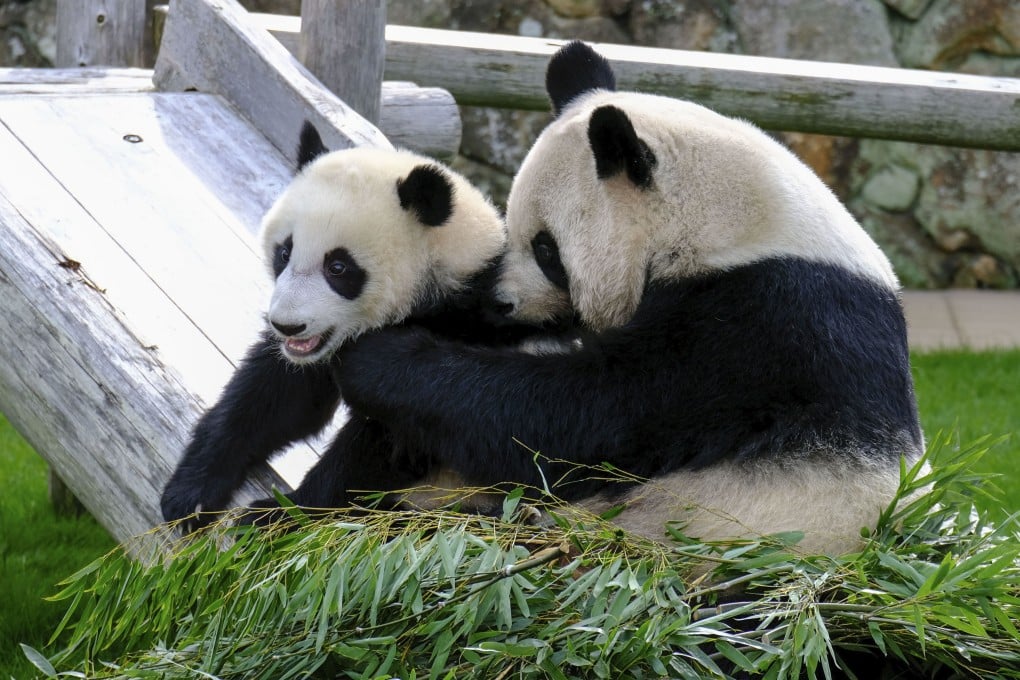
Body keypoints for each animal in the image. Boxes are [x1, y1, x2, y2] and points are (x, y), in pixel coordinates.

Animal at [160, 122, 546, 531]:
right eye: (284, 252)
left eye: (338, 267)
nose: (287, 326)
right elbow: (276, 397)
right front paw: (192, 492)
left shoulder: (458, 328)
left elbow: (391, 444)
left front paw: (283, 513)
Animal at [331, 41, 924, 555]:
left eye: (547, 249)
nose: (500, 303)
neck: (728, 224)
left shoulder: (761, 326)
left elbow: (584, 417)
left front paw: (378, 358)